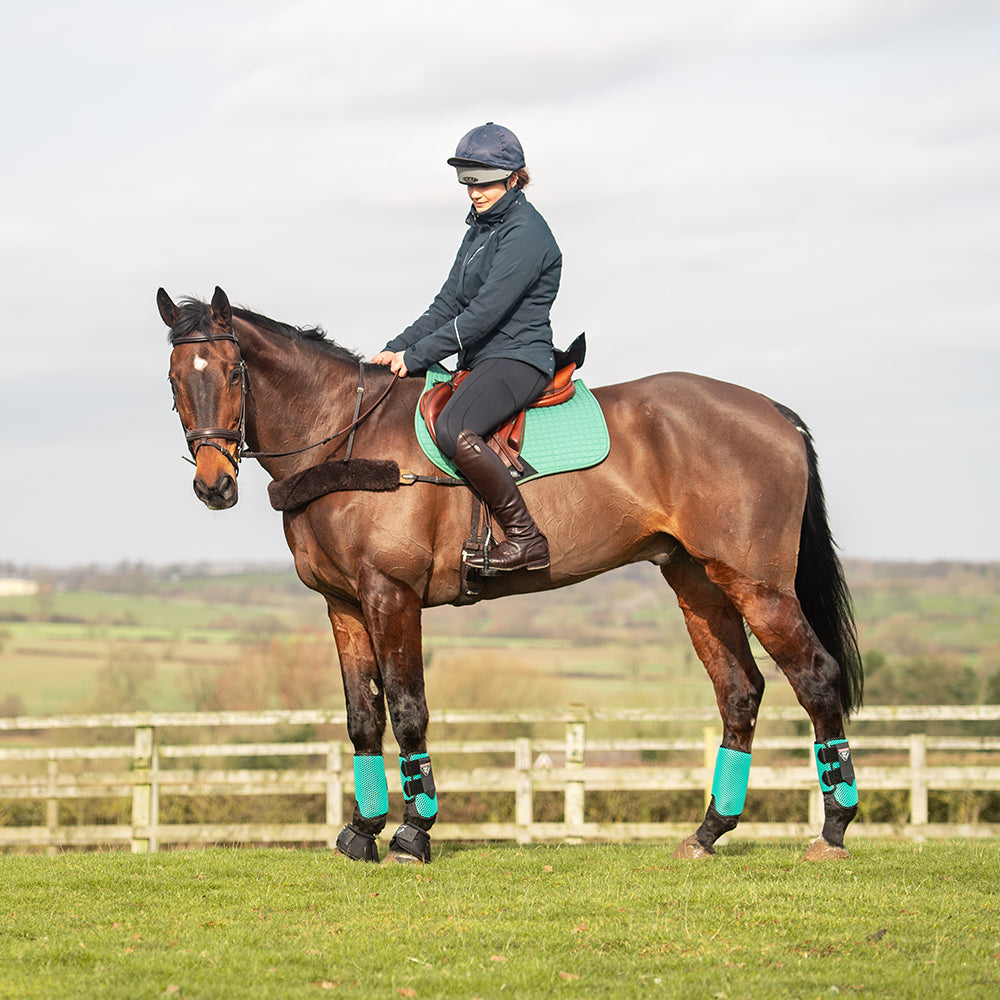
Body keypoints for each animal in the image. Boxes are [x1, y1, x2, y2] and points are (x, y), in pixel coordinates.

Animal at [160, 286, 864, 864]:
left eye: (232, 372)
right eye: (173, 380)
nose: (214, 486)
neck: (346, 438)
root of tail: (772, 411)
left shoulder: (391, 596)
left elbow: (408, 709)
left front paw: (413, 834)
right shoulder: (344, 605)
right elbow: (363, 717)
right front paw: (362, 833)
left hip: (757, 586)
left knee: (815, 677)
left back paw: (833, 828)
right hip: (698, 584)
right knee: (740, 691)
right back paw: (709, 831)